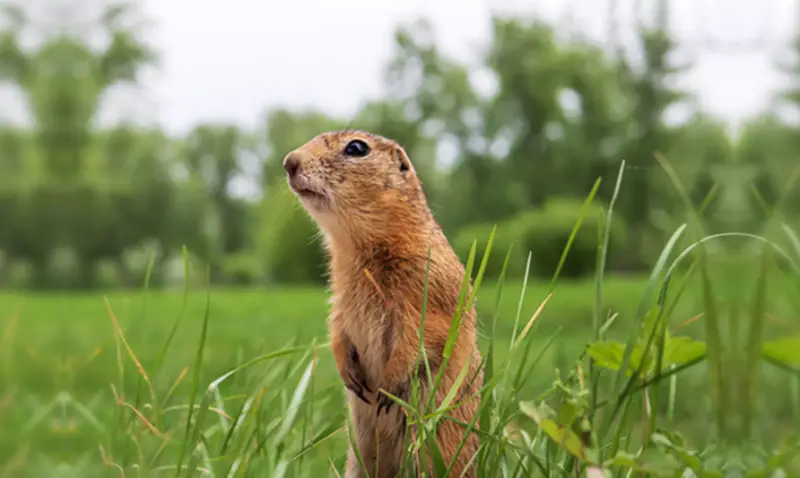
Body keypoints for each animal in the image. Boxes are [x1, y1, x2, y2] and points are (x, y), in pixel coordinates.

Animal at [284, 131, 484, 478]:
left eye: (356, 147)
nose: (289, 162)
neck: (361, 248)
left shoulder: (426, 286)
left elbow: (423, 335)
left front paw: (387, 389)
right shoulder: (340, 298)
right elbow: (336, 328)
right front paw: (349, 376)